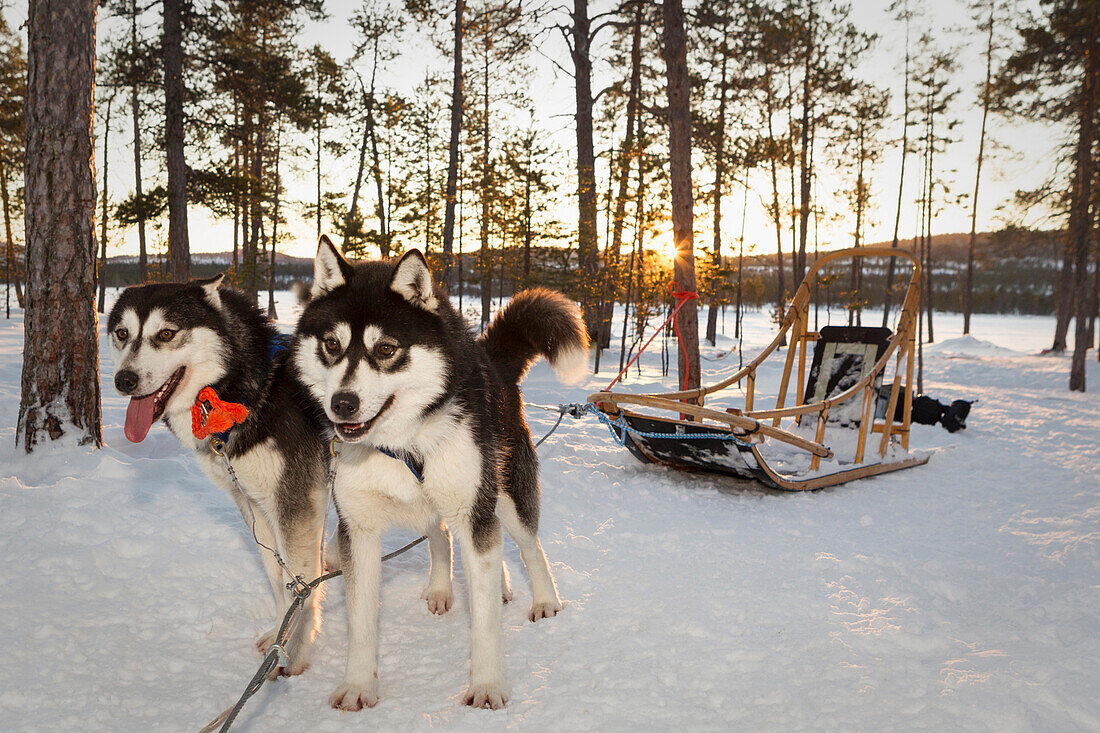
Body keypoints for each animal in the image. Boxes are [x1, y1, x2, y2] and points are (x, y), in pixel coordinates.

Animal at [106, 274, 330, 673]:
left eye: (166, 333)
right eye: (122, 333)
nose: (124, 380)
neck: (249, 391)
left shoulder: (295, 505)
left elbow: (303, 584)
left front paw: (297, 652)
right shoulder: (253, 505)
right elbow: (280, 579)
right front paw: (278, 636)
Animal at [288, 236, 589, 704]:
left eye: (386, 349)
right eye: (332, 345)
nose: (343, 404)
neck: (403, 444)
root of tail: (492, 359)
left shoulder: (474, 510)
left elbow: (484, 622)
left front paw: (486, 685)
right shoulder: (358, 529)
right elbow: (362, 621)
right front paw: (358, 685)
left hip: (504, 492)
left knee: (527, 544)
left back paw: (543, 599)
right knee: (442, 538)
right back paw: (446, 588)